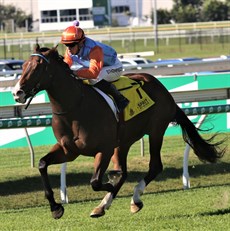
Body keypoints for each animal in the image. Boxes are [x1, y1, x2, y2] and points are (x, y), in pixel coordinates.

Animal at [12, 44, 225, 218]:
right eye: (23, 66)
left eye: (38, 66)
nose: (17, 92)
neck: (75, 107)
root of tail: (162, 87)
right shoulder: (69, 151)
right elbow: (42, 164)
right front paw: (56, 207)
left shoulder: (104, 149)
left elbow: (96, 182)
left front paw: (109, 185)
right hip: (123, 141)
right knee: (125, 171)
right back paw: (104, 205)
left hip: (156, 129)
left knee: (155, 166)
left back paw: (134, 199)